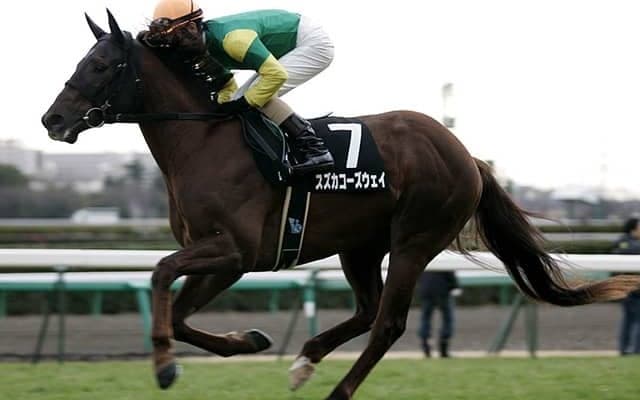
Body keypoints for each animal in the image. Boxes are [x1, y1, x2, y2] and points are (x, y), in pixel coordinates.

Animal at [42, 11, 640, 400]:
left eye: (100, 65)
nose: (52, 119)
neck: (204, 140)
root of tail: (466, 154)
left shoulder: (233, 250)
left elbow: (162, 274)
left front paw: (165, 365)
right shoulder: (225, 259)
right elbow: (184, 316)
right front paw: (247, 340)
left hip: (415, 238)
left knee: (389, 323)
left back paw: (335, 391)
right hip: (361, 246)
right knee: (368, 310)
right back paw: (305, 361)